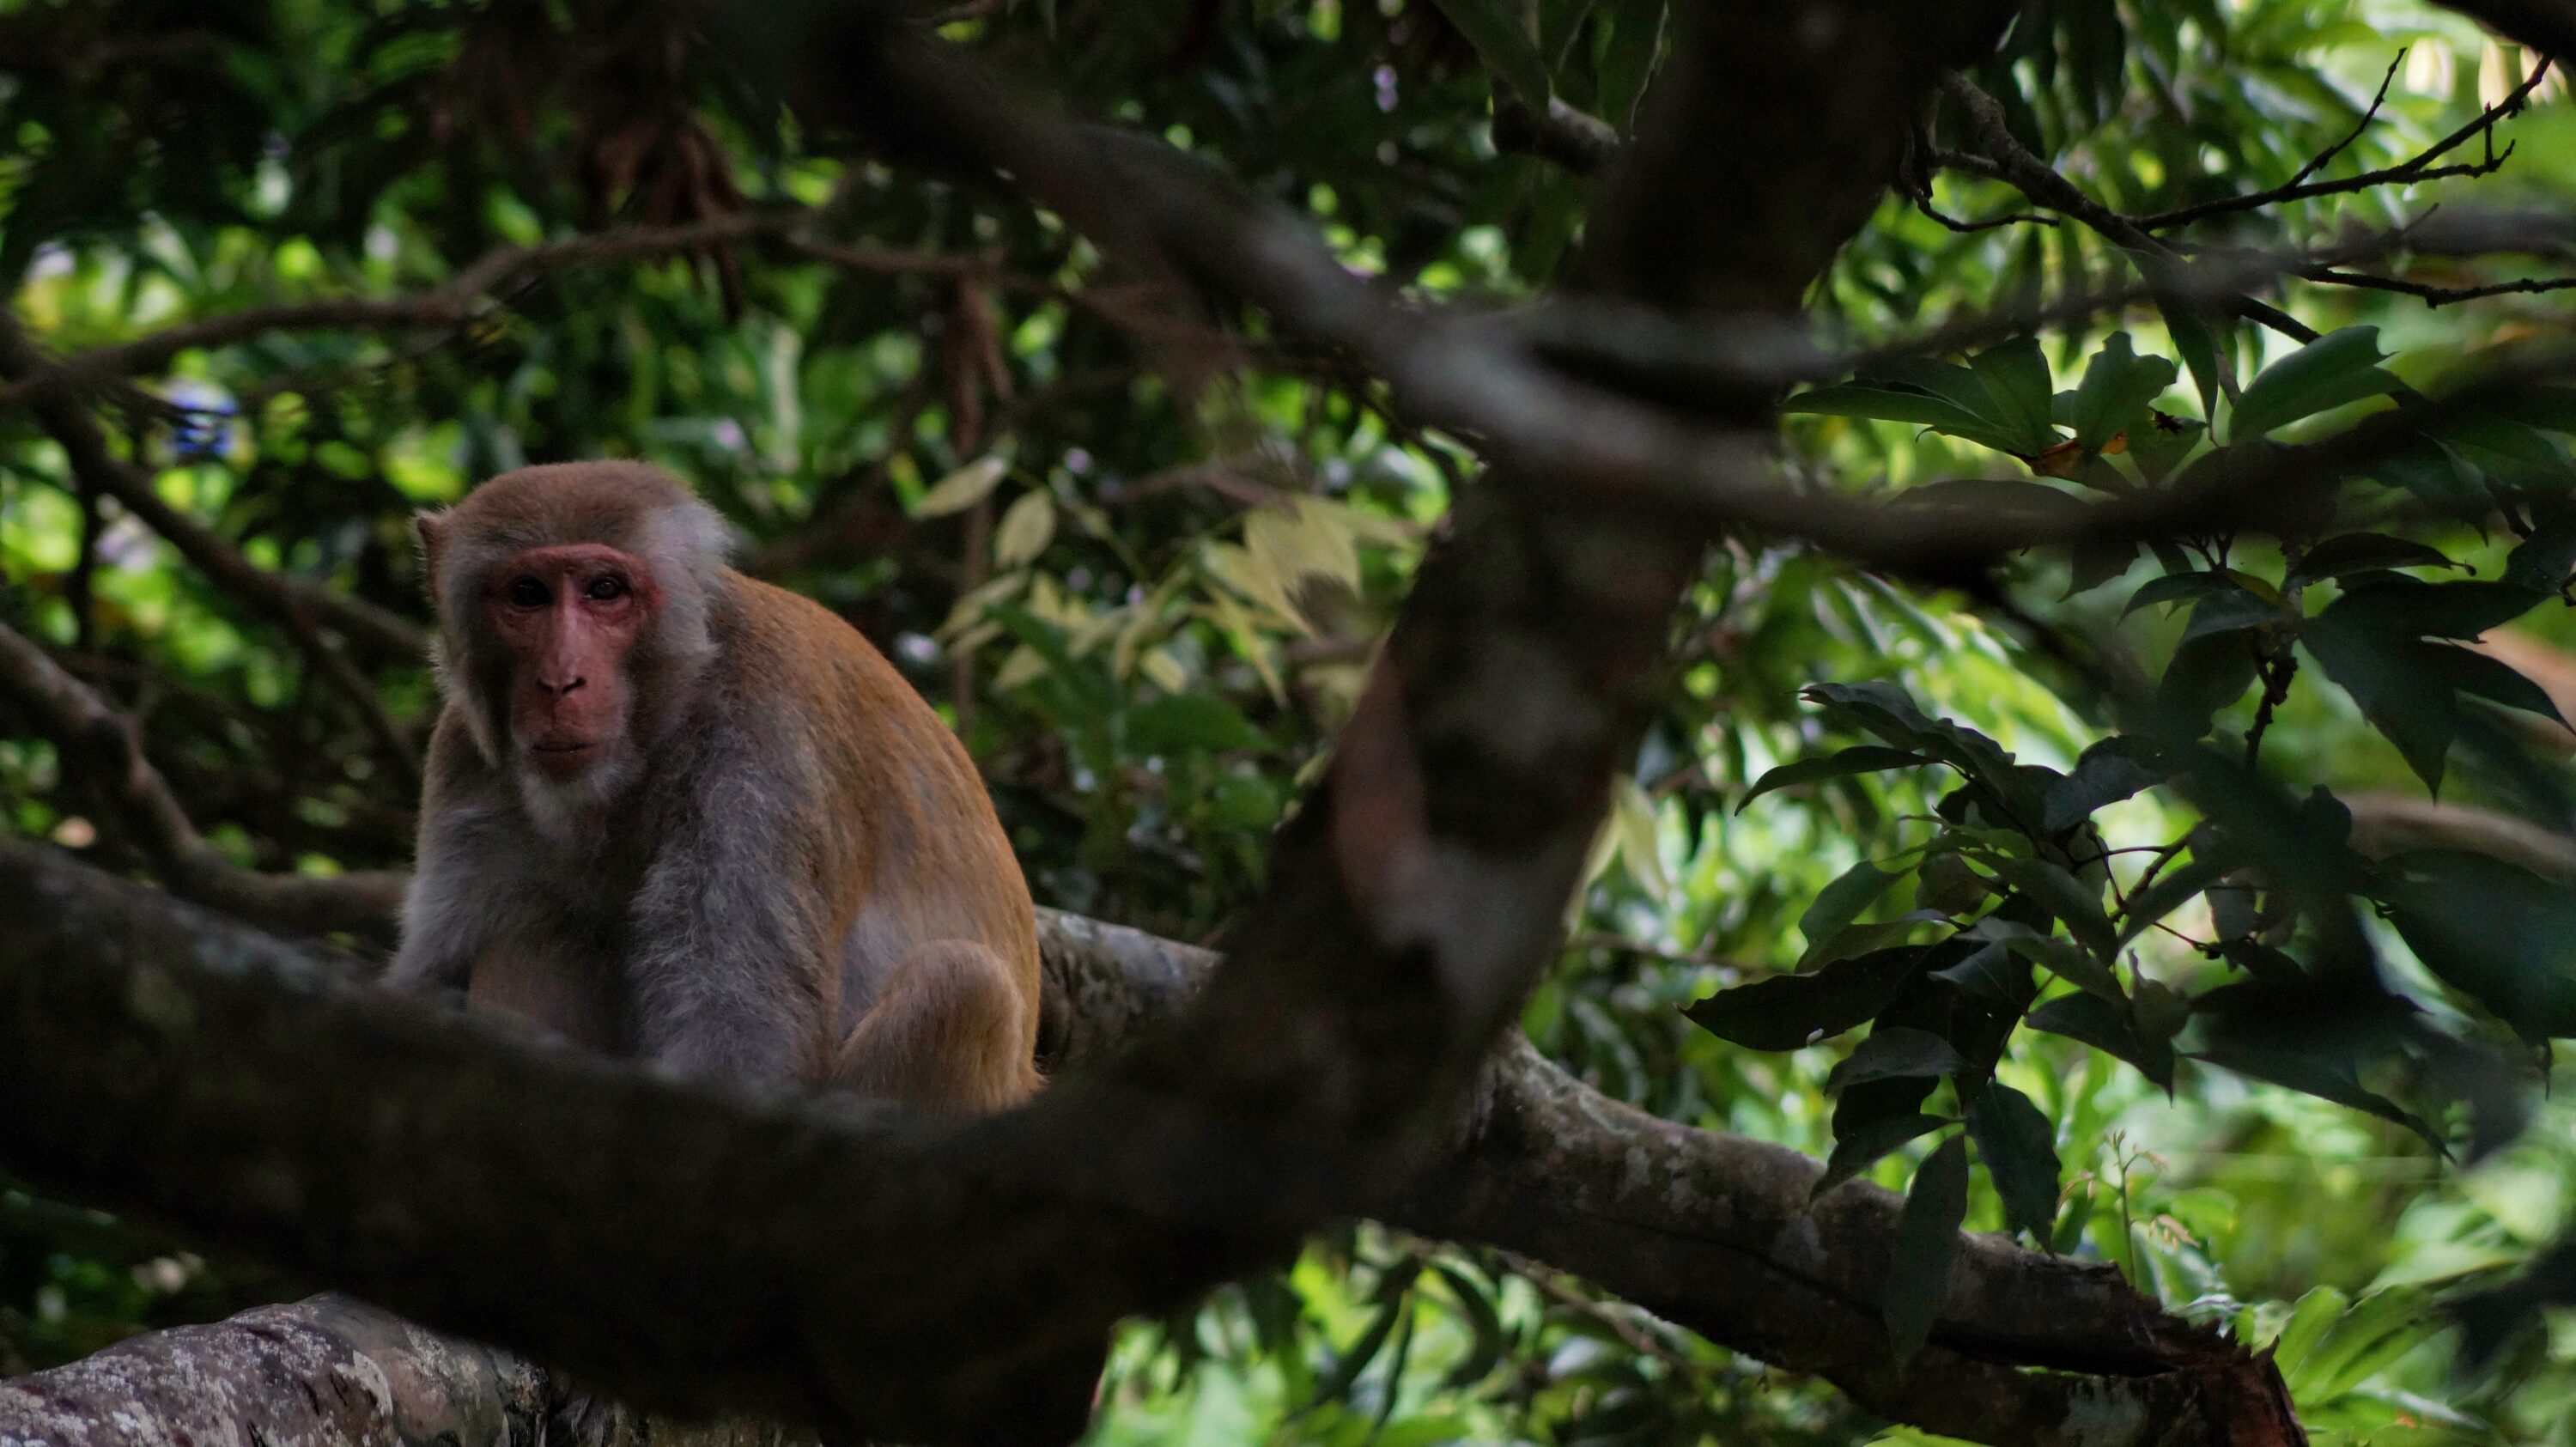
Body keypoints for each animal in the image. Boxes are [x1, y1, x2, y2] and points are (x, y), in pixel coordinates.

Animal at [386, 460, 1044, 1112]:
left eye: (606, 590)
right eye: (527, 594)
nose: (559, 682)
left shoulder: (760, 747)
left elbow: (742, 1038)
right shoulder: (462, 758)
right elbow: (432, 971)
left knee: (961, 984)